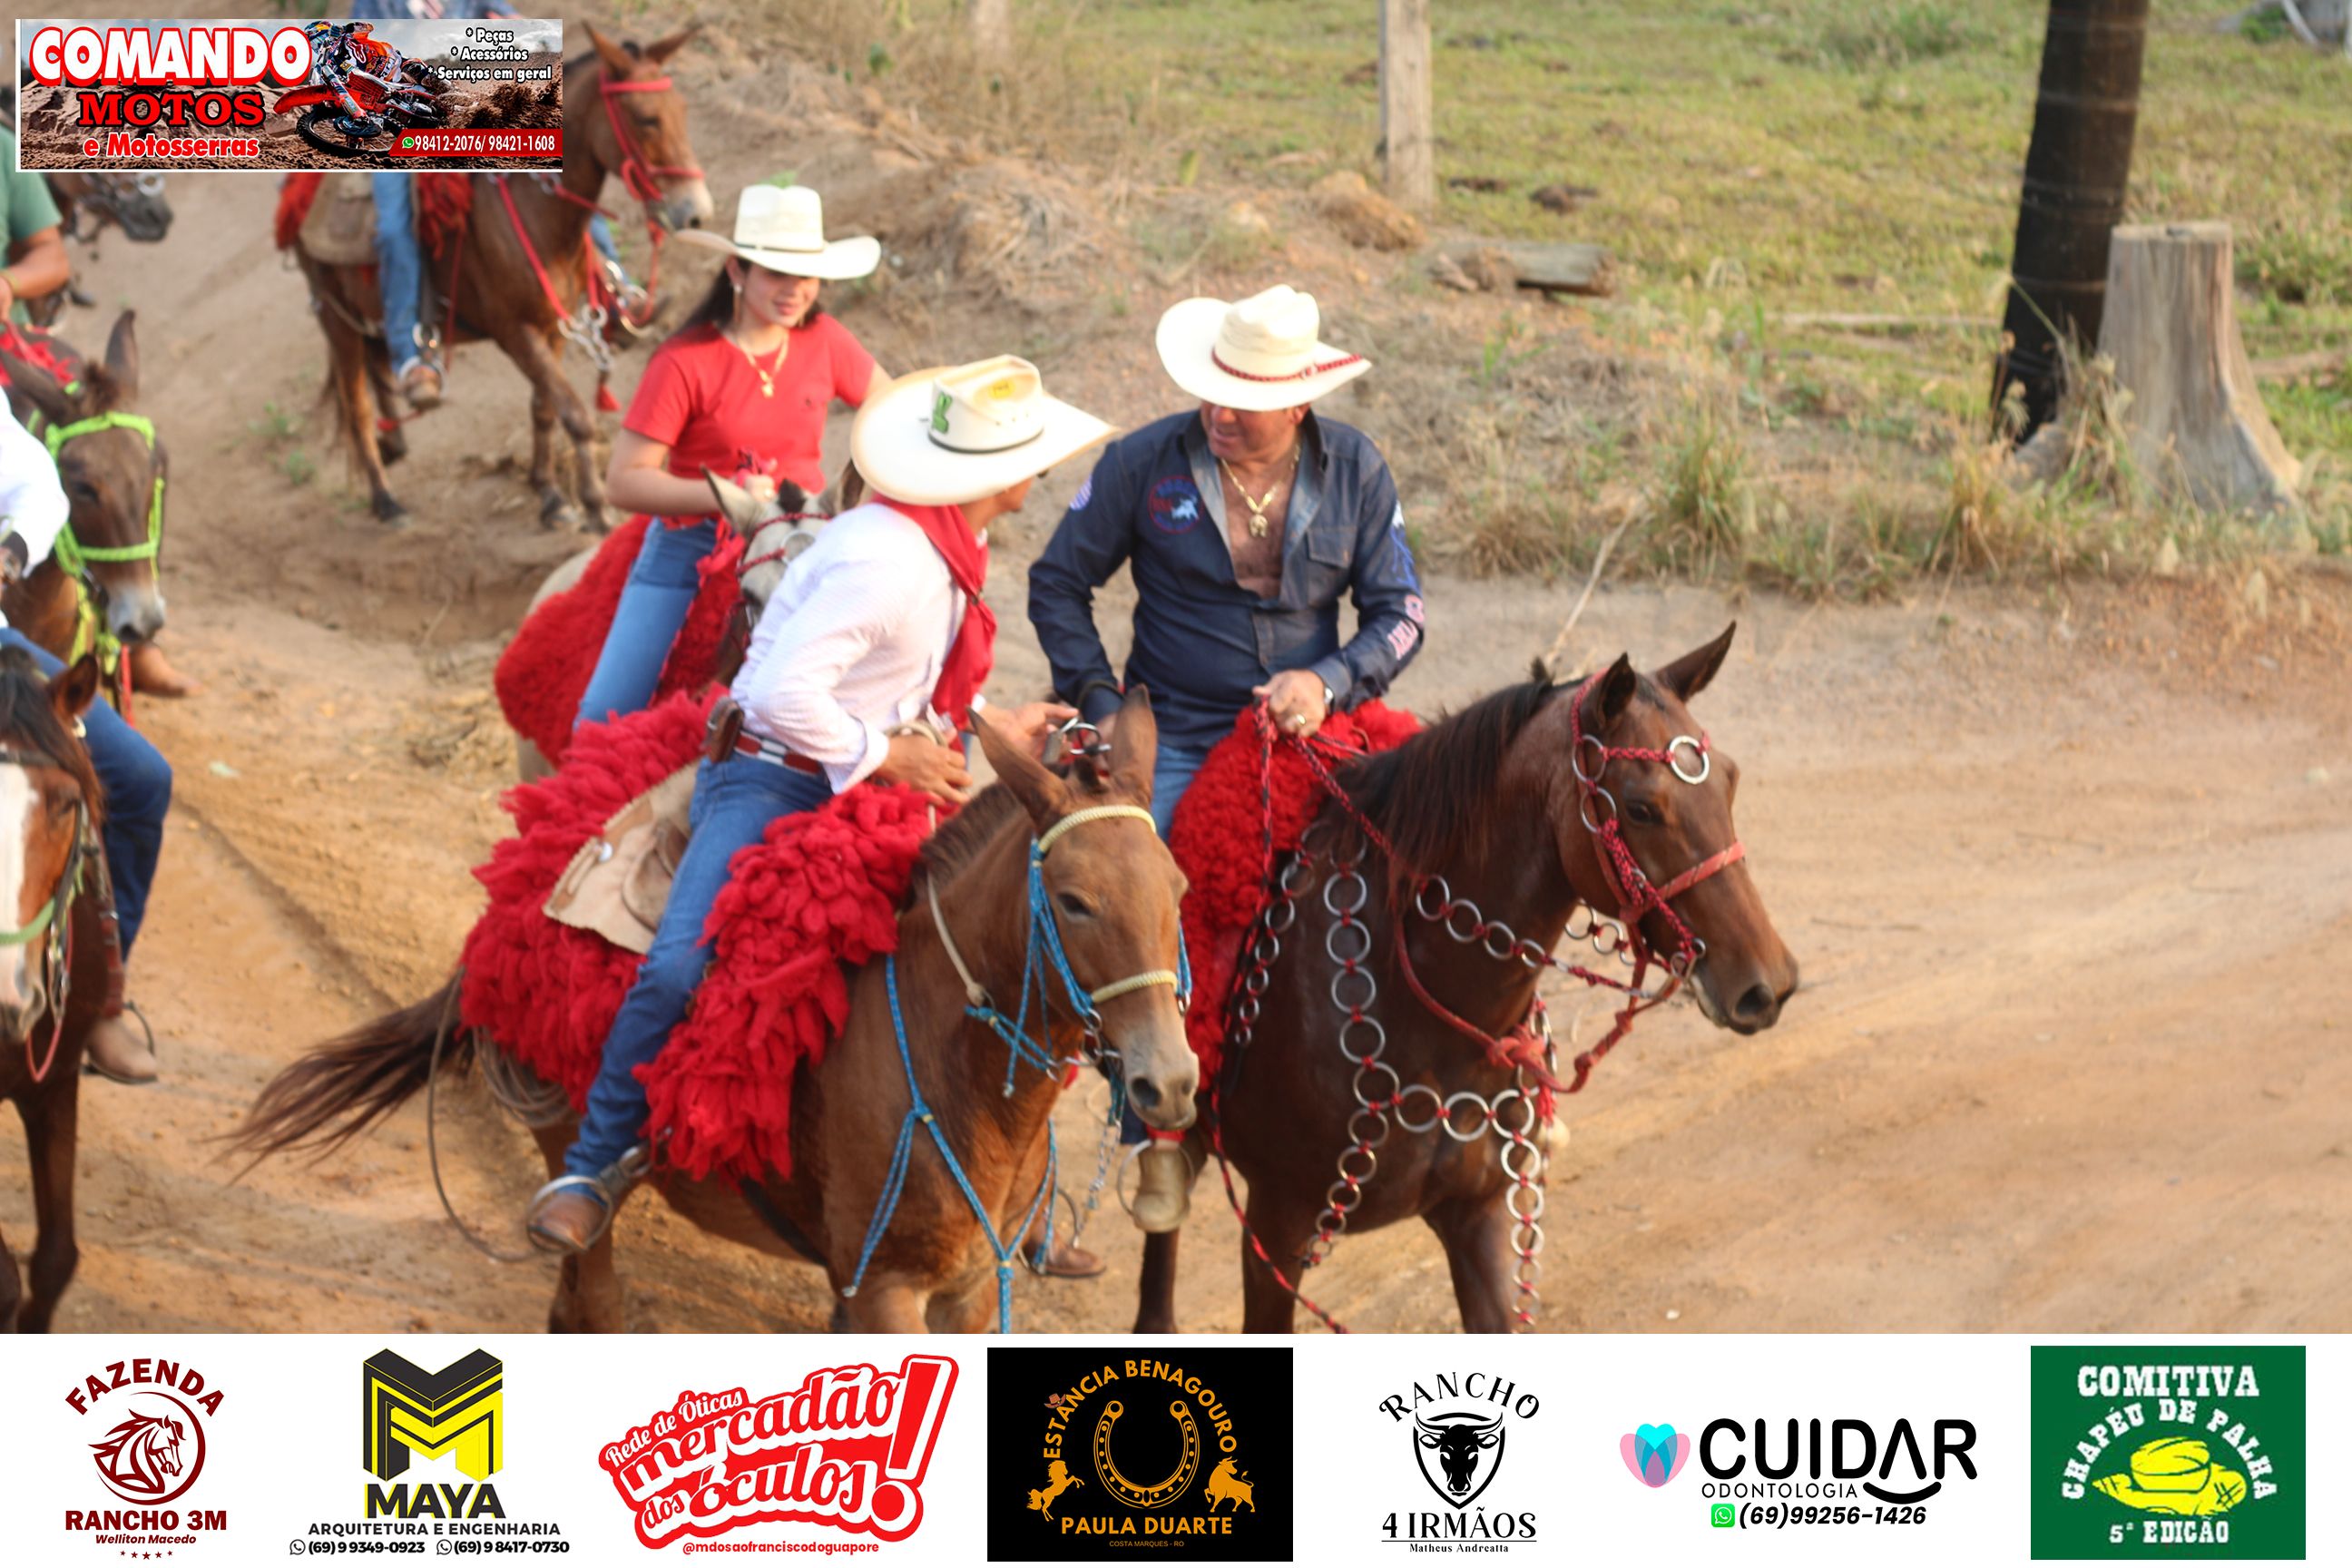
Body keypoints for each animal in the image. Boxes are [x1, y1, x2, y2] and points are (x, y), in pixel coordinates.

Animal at [235, 689, 1197, 1333]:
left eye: (1178, 887)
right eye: (1073, 901)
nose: (1172, 1079)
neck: (951, 1063)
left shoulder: (961, 1290)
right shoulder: (885, 1285)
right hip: (563, 1130)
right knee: (591, 1274)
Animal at [292, 26, 713, 529]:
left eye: (683, 111)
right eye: (646, 119)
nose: (695, 212)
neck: (535, 215)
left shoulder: (552, 327)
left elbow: (545, 407)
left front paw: (548, 491)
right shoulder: (516, 332)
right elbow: (574, 413)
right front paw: (593, 504)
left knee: (379, 375)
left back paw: (395, 443)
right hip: (336, 322)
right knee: (356, 409)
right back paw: (386, 500)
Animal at [1136, 627, 1800, 1333]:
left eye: (1729, 782)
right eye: (1642, 807)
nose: (1769, 983)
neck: (1425, 1008)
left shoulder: (1475, 1217)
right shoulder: (1274, 1230)